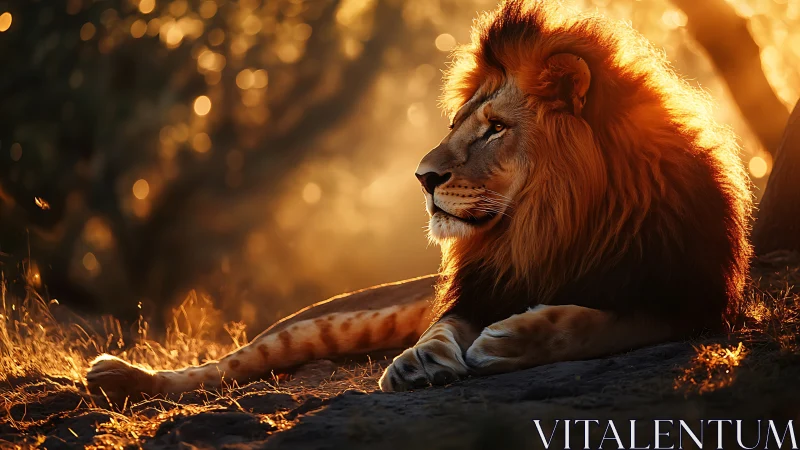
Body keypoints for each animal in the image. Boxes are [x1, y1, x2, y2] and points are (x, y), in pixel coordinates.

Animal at [86, 0, 751, 398]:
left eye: (495, 128)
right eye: (458, 124)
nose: (422, 177)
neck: (551, 220)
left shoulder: (691, 301)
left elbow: (601, 322)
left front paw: (515, 338)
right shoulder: (480, 288)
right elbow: (442, 327)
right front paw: (421, 359)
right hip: (336, 321)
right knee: (234, 361)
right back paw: (121, 375)